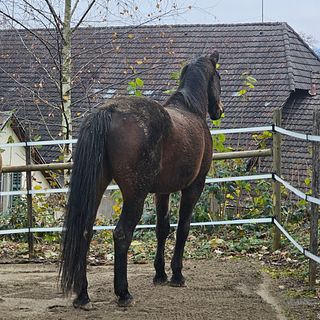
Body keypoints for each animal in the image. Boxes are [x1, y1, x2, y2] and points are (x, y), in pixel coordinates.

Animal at [60, 52, 222, 310]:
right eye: (219, 77)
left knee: (85, 232)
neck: (190, 109)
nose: (219, 110)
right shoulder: (193, 187)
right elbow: (183, 228)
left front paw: (160, 274)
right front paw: (177, 275)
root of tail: (108, 112)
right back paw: (123, 293)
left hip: (97, 188)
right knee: (122, 234)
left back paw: (83, 296)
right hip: (135, 195)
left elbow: (162, 228)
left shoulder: (162, 191)